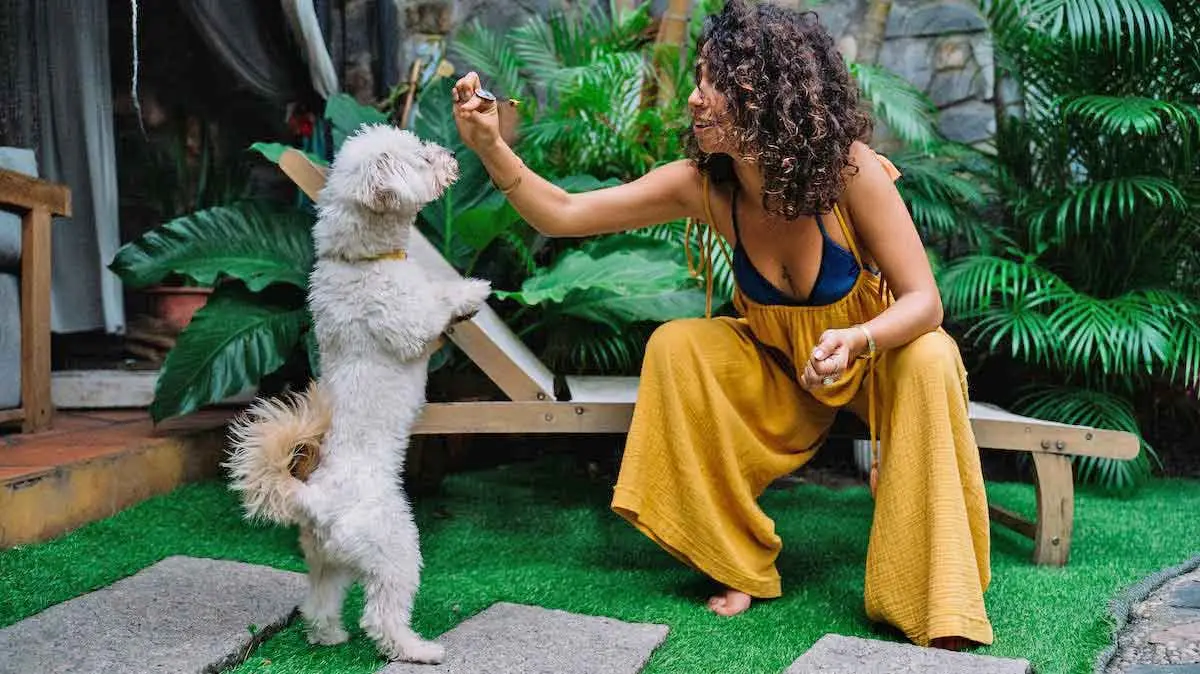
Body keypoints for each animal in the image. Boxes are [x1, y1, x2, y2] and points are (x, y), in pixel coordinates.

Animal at [223, 123, 489, 662]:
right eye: (421, 158)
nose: (449, 153)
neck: (361, 260)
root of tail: (312, 498)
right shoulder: (407, 324)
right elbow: (435, 305)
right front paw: (471, 294)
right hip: (395, 545)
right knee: (381, 614)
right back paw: (416, 649)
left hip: (328, 559)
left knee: (318, 603)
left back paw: (329, 636)